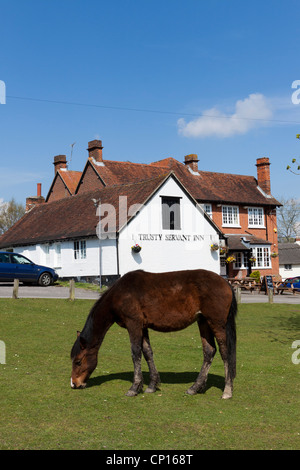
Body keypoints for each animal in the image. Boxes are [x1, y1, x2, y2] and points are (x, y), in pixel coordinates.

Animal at [70, 270, 237, 398]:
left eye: (78, 361)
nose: (74, 384)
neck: (120, 294)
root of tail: (225, 282)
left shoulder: (134, 325)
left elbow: (135, 353)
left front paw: (134, 387)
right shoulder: (143, 327)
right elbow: (147, 353)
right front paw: (151, 385)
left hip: (216, 324)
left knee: (225, 352)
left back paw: (227, 390)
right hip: (203, 322)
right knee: (209, 351)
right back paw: (195, 387)